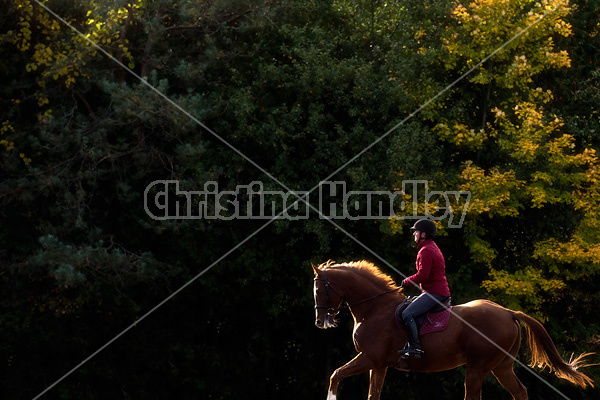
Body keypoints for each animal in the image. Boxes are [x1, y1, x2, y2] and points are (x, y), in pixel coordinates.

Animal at [312, 260, 592, 400]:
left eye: (318, 290)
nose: (320, 321)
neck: (374, 307)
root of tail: (508, 312)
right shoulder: (379, 365)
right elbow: (373, 394)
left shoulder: (369, 358)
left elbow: (335, 375)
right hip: (501, 367)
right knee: (520, 392)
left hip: (477, 367)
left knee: (475, 395)